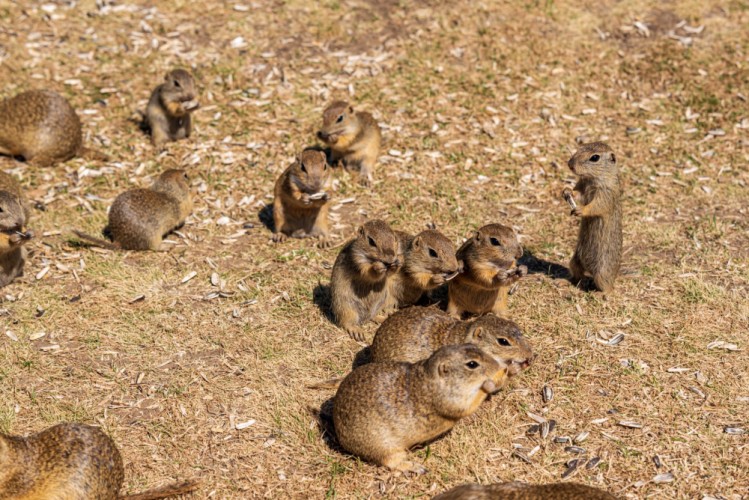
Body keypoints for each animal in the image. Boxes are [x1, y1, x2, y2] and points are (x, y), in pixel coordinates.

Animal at [334, 344, 508, 472]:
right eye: (472, 364)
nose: (497, 365)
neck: (430, 378)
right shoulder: (450, 401)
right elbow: (469, 405)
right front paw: (495, 380)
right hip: (384, 447)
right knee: (390, 462)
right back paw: (414, 467)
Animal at [564, 142, 624, 292]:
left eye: (595, 157)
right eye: (581, 147)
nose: (570, 165)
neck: (592, 178)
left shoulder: (605, 194)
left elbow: (595, 206)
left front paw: (580, 210)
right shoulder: (582, 185)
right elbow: (577, 193)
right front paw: (567, 190)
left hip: (602, 273)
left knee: (608, 288)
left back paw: (599, 293)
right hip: (574, 261)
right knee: (579, 276)